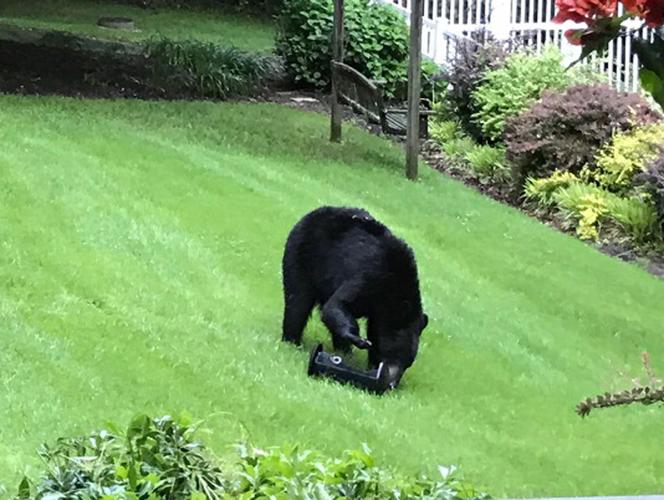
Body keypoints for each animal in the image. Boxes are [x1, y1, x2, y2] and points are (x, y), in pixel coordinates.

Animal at [281, 205, 429, 388]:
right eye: (396, 354)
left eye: (408, 362)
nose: (392, 384)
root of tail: (316, 211)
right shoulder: (370, 278)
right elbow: (337, 305)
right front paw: (358, 340)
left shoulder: (378, 310)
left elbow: (374, 331)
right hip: (303, 257)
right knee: (297, 302)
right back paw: (292, 340)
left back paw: (343, 350)